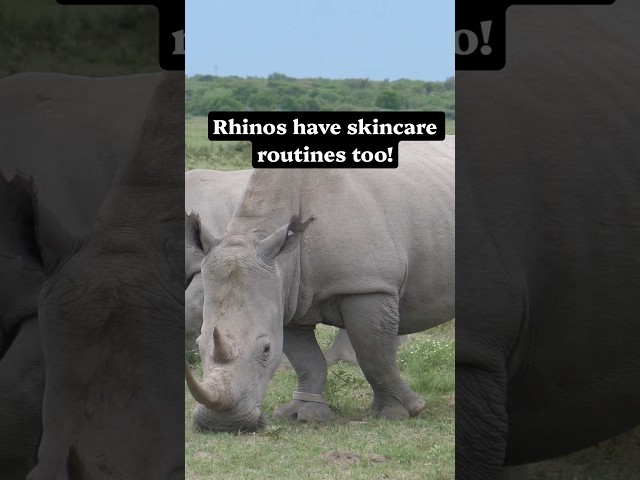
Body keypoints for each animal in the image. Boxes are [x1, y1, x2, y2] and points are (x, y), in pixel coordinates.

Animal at [185, 138, 455, 432]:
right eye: (199, 344)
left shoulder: (368, 284)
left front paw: (400, 412)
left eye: (266, 350)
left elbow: (373, 354)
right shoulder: (286, 294)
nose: (221, 425)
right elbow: (306, 359)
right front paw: (304, 414)